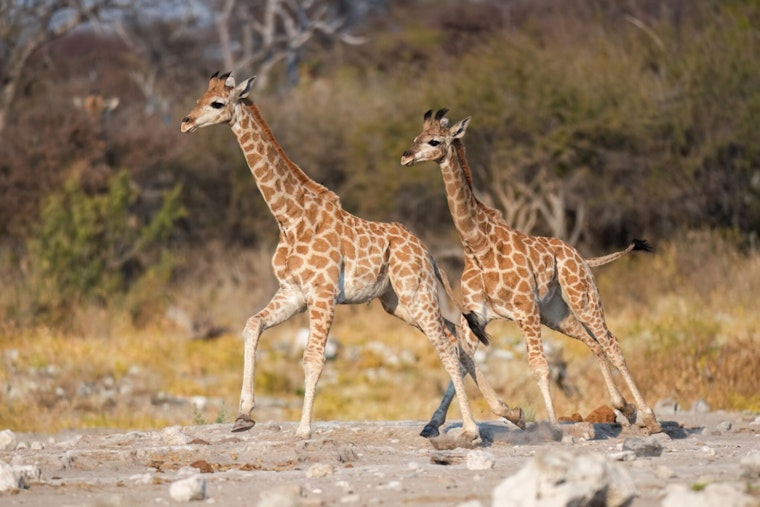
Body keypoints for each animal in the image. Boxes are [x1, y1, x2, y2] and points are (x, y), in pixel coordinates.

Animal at [180, 73, 523, 439]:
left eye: (217, 103)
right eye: (200, 97)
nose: (186, 122)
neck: (290, 217)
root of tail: (427, 252)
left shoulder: (323, 293)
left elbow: (313, 358)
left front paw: (303, 430)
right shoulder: (293, 292)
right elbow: (252, 325)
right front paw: (243, 415)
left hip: (415, 292)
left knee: (445, 342)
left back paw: (471, 429)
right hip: (398, 303)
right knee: (456, 334)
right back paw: (510, 413)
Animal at [401, 109, 661, 434]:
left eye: (434, 141)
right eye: (415, 137)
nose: (406, 156)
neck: (478, 246)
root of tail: (582, 257)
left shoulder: (525, 310)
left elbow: (539, 366)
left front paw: (551, 426)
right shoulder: (476, 316)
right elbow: (462, 361)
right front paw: (436, 424)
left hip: (582, 298)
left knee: (610, 342)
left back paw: (649, 417)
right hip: (556, 313)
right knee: (594, 344)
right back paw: (623, 406)